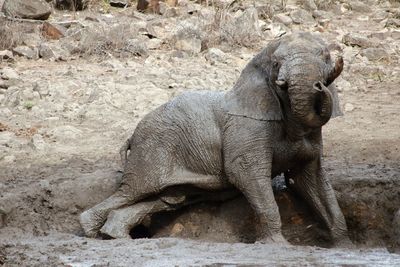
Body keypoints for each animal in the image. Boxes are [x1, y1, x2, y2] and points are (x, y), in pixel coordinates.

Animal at [79, 31, 352, 247]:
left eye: (324, 56)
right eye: (276, 63)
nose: (319, 85)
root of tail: (132, 135)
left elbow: (312, 180)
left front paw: (343, 246)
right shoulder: (248, 129)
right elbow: (246, 173)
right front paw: (278, 245)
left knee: (167, 198)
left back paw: (117, 237)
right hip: (152, 151)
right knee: (133, 191)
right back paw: (91, 232)